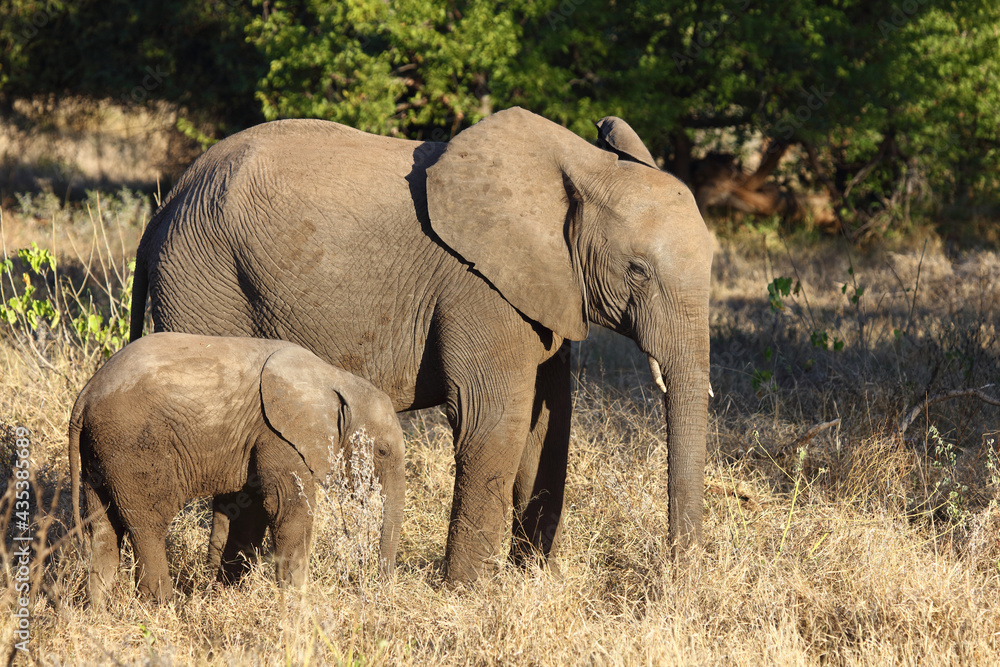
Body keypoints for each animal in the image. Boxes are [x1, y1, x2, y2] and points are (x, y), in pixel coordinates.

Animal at [67, 332, 406, 608]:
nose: (380, 591)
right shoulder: (277, 433)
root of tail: (84, 396)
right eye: (382, 451)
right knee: (147, 525)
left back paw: (100, 613)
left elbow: (251, 512)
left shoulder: (255, 436)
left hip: (99, 451)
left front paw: (227, 594)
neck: (334, 379)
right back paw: (161, 608)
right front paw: (296, 602)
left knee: (103, 528)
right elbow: (286, 508)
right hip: (133, 446)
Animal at [131, 107, 712, 580]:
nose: (672, 585)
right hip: (204, 282)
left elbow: (549, 423)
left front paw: (527, 581)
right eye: (637, 271)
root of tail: (167, 203)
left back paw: (227, 583)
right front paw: (467, 594)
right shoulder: (480, 289)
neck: (584, 168)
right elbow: (493, 419)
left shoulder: (547, 290)